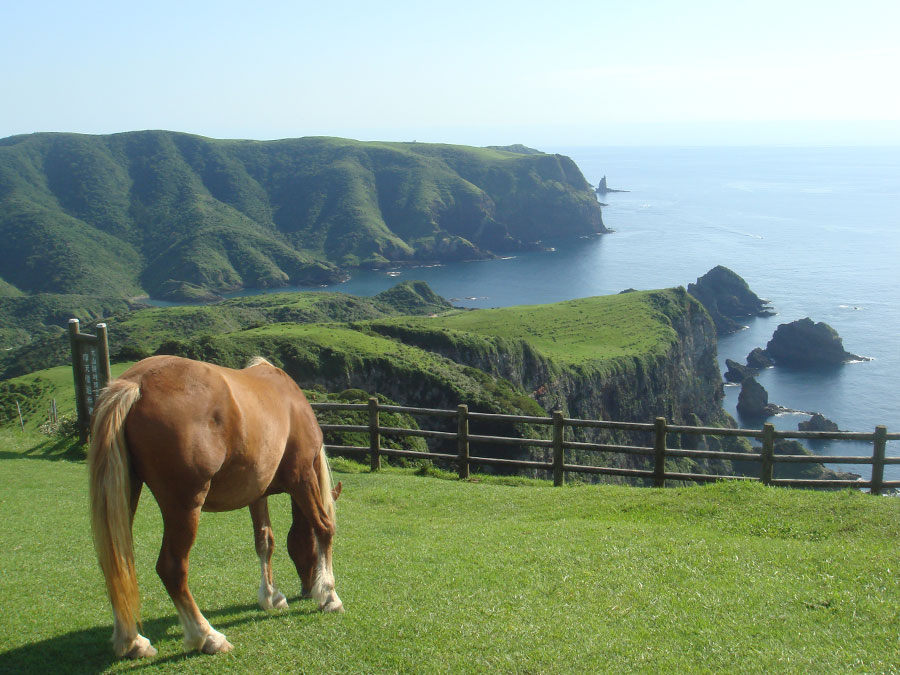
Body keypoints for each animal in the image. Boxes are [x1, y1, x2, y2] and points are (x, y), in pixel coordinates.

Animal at [89, 356, 342, 656]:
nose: (305, 589)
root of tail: (135, 383)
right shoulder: (301, 477)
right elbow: (323, 526)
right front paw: (329, 595)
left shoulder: (257, 494)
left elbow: (265, 541)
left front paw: (271, 596)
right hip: (185, 505)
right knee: (171, 567)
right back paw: (207, 635)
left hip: (126, 493)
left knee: (115, 562)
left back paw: (131, 641)